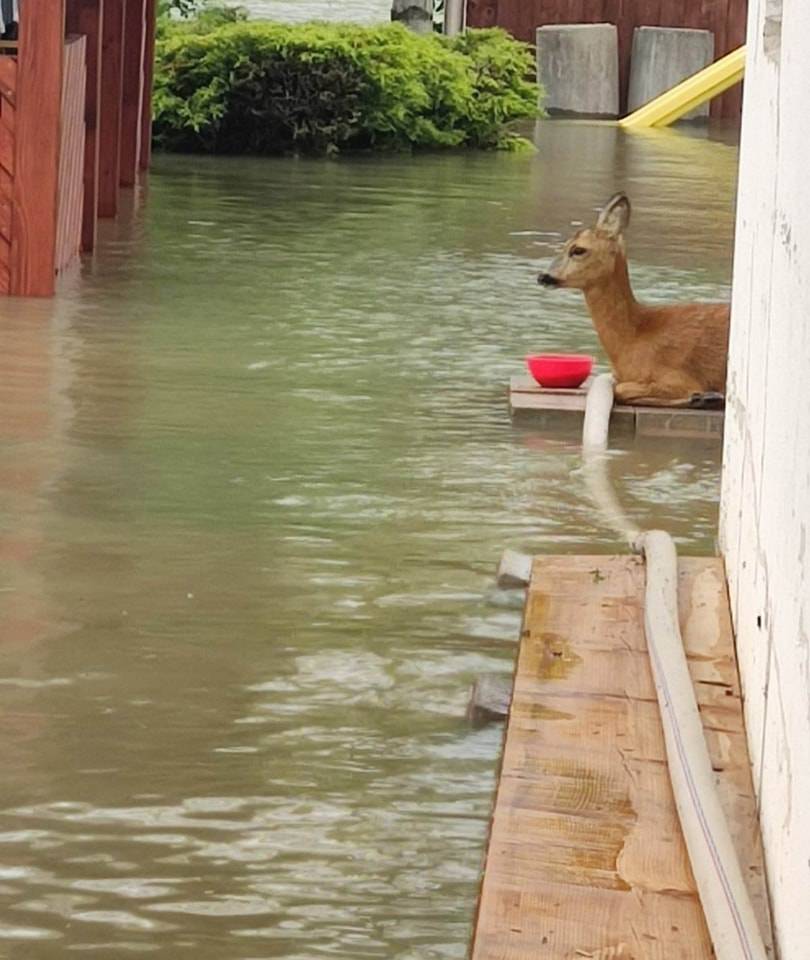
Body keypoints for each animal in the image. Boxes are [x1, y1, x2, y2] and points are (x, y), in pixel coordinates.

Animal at [532, 193, 728, 406]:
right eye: (566, 245)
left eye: (578, 250)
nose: (543, 276)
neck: (633, 339)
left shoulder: (678, 376)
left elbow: (620, 390)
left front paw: (704, 396)